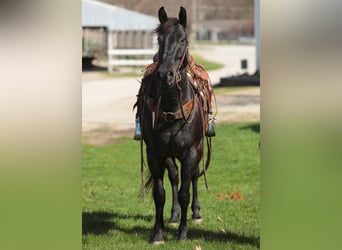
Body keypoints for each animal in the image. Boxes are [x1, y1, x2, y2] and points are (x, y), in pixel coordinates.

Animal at [137, 6, 211, 244]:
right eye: (159, 39)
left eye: (182, 39)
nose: (165, 74)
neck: (172, 110)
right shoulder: (155, 153)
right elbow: (160, 194)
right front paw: (158, 233)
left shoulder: (191, 152)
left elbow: (185, 192)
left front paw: (183, 233)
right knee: (174, 177)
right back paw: (174, 215)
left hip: (199, 149)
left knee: (194, 177)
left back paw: (195, 213)